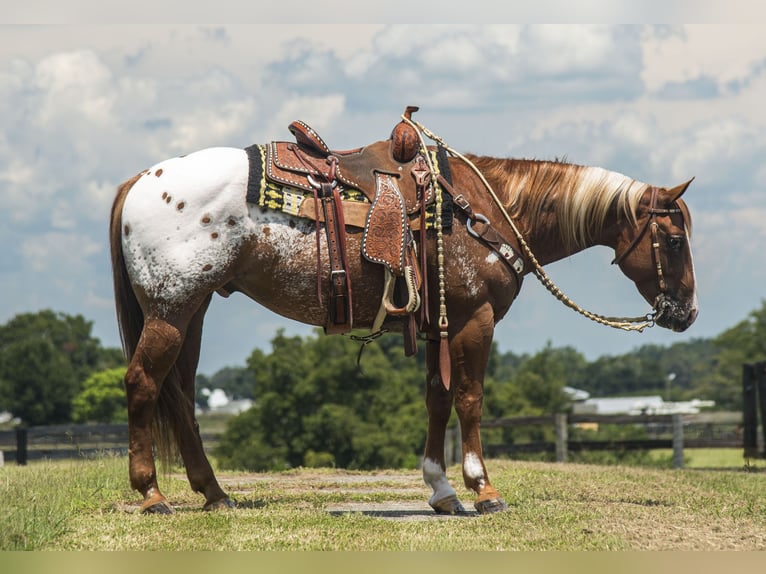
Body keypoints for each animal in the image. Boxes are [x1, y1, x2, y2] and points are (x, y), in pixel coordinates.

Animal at [109, 112, 704, 516]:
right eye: (674, 241)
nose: (687, 313)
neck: (481, 212)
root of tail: (139, 180)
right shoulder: (474, 319)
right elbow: (469, 399)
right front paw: (483, 489)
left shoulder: (441, 323)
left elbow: (437, 399)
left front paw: (442, 491)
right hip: (172, 307)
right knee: (143, 383)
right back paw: (152, 495)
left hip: (193, 309)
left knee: (180, 396)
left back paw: (214, 493)